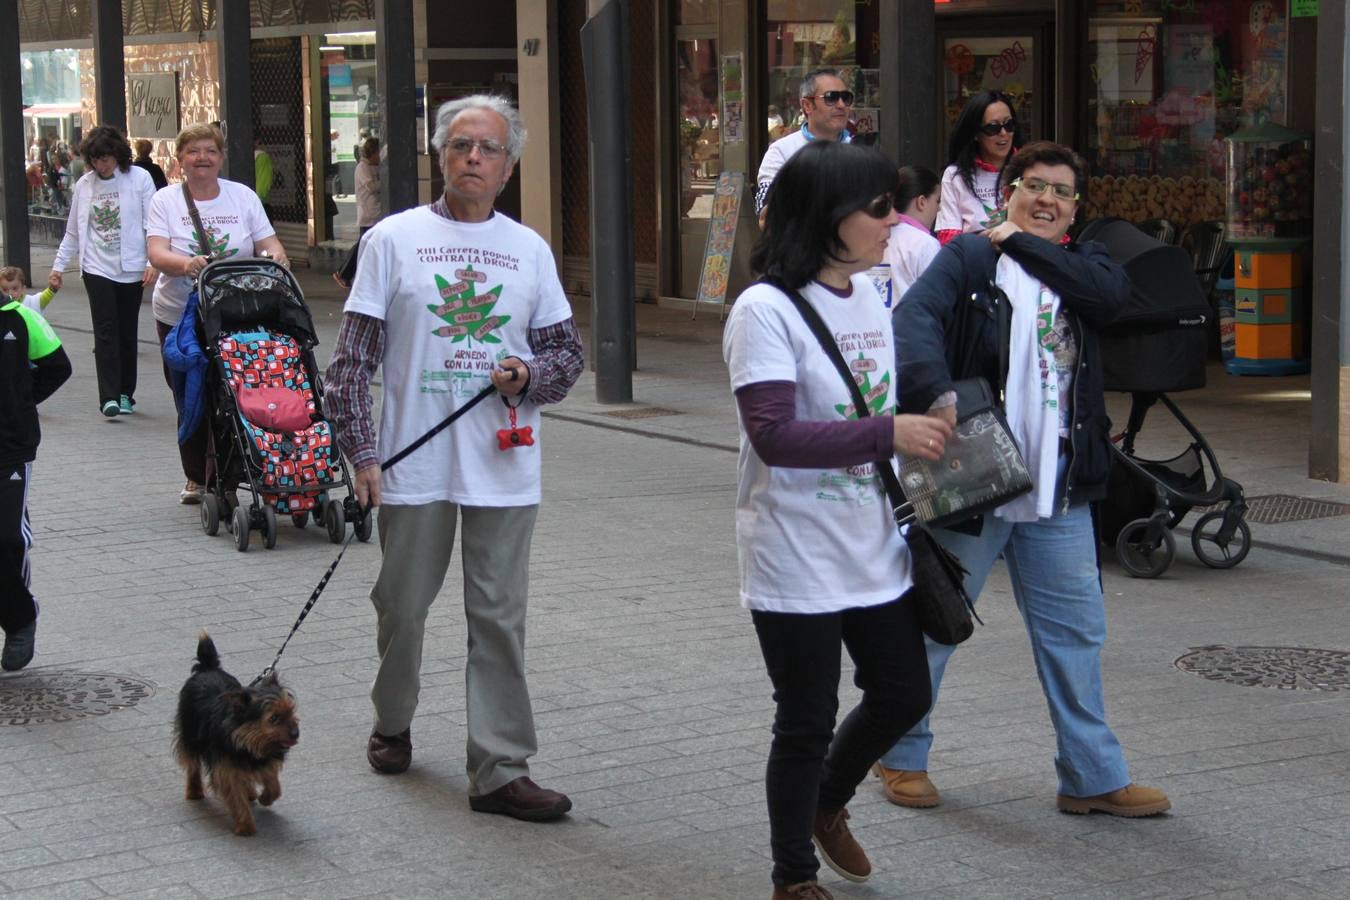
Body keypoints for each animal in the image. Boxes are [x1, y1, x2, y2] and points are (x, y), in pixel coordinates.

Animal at [172, 634, 299, 836]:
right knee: (192, 764)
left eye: (291, 712)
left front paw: (266, 797)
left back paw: (251, 793)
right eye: (274, 718)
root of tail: (208, 667)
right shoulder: (226, 769)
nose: (296, 733)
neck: (247, 741)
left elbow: (272, 782)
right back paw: (194, 791)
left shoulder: (264, 759)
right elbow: (236, 797)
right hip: (189, 733)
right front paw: (246, 827)